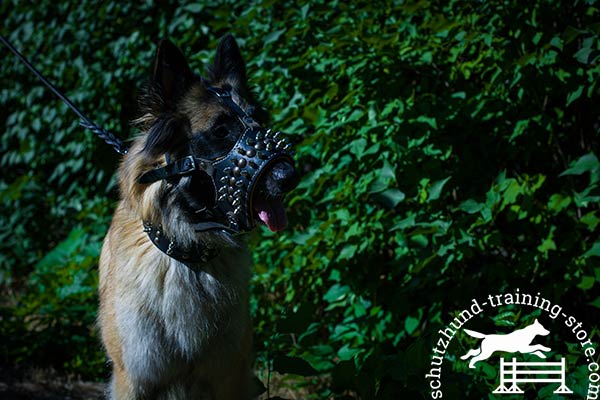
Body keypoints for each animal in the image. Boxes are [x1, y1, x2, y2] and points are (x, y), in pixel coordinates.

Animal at [98, 35, 300, 400]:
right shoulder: (133, 378)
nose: (291, 175)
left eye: (259, 120)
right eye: (220, 131)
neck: (188, 256)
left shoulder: (228, 377)